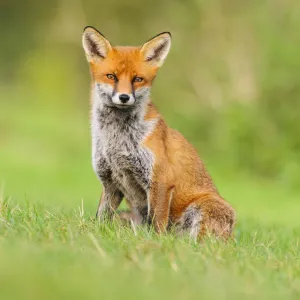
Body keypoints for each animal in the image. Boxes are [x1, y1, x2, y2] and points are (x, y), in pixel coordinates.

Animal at [82, 27, 237, 240]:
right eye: (111, 76)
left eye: (138, 79)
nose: (124, 97)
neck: (117, 140)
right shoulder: (110, 182)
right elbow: (101, 218)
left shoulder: (160, 180)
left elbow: (157, 224)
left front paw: (157, 243)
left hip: (203, 210)